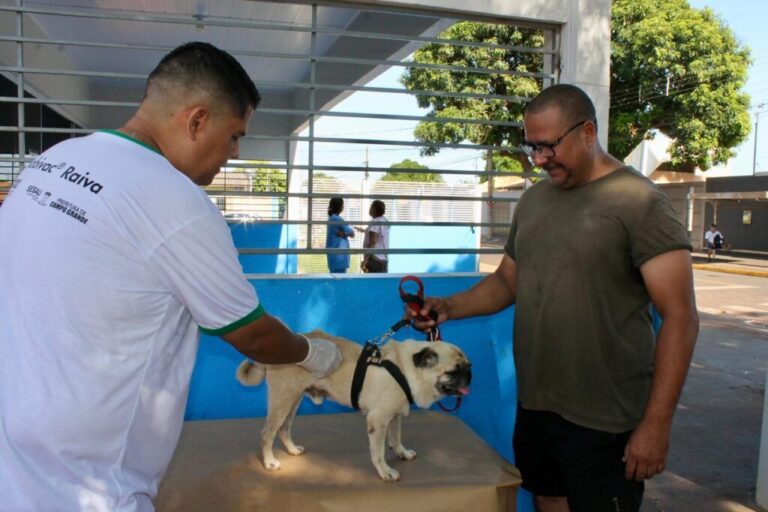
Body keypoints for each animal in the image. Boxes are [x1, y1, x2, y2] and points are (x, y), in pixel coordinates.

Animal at [237, 330, 472, 482]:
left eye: (468, 367)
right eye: (453, 372)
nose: (469, 376)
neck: (406, 369)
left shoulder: (394, 416)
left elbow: (396, 438)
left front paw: (402, 453)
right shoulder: (377, 421)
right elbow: (378, 452)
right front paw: (385, 471)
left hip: (293, 401)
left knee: (284, 429)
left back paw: (293, 450)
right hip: (283, 399)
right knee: (268, 433)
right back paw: (270, 462)